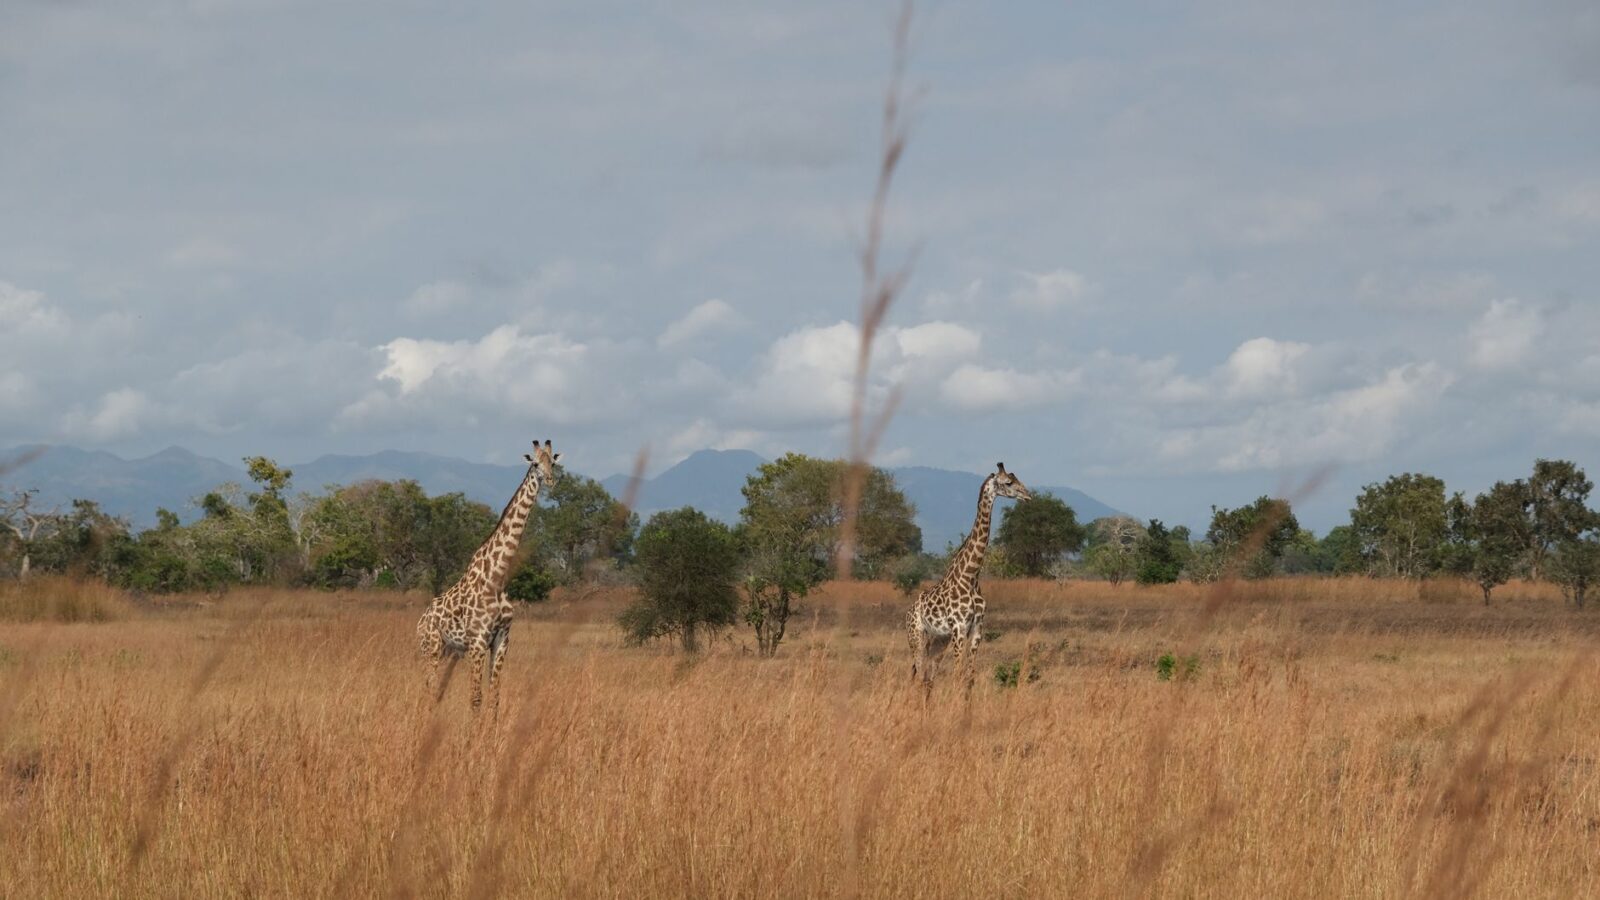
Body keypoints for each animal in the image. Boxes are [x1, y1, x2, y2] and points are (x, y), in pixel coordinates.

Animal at [416, 438, 561, 716]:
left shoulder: (502, 639)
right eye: (536, 464)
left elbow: (494, 698)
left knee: (436, 691)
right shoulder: (478, 641)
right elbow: (476, 698)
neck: (498, 577)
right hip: (431, 647)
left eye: (553, 463)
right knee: (427, 689)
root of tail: (420, 620)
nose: (550, 480)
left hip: (451, 650)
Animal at [906, 462, 1032, 691]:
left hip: (938, 640)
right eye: (1008, 482)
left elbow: (969, 677)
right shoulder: (959, 627)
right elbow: (957, 675)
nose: (1028, 495)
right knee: (919, 676)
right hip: (916, 636)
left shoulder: (976, 628)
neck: (971, 576)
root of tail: (908, 612)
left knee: (928, 677)